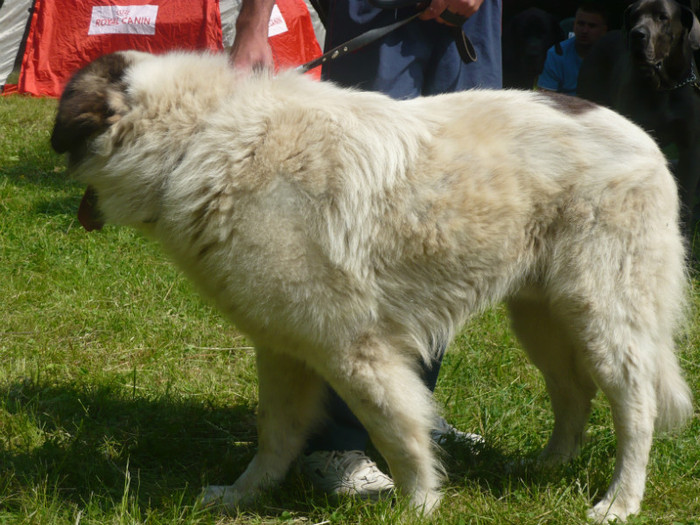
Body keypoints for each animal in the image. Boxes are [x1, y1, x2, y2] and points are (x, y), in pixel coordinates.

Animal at [52, 50, 692, 520]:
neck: (197, 138)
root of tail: (646, 140)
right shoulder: (283, 348)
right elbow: (275, 434)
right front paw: (242, 496)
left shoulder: (352, 348)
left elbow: (398, 431)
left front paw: (419, 505)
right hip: (541, 318)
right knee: (573, 394)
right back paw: (547, 466)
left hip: (602, 317)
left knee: (635, 407)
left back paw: (618, 502)